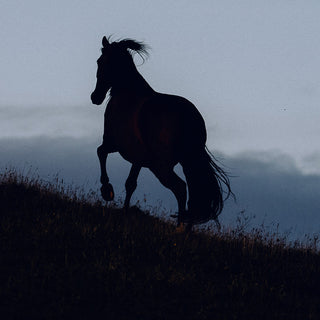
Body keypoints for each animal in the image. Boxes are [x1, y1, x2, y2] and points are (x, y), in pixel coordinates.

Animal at [90, 35, 232, 228]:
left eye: (100, 61)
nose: (95, 97)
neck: (128, 94)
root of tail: (189, 119)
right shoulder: (138, 158)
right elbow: (130, 183)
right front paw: (124, 211)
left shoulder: (114, 143)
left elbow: (100, 152)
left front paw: (107, 191)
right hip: (182, 162)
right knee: (194, 191)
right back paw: (187, 227)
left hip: (160, 166)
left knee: (180, 188)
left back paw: (179, 227)